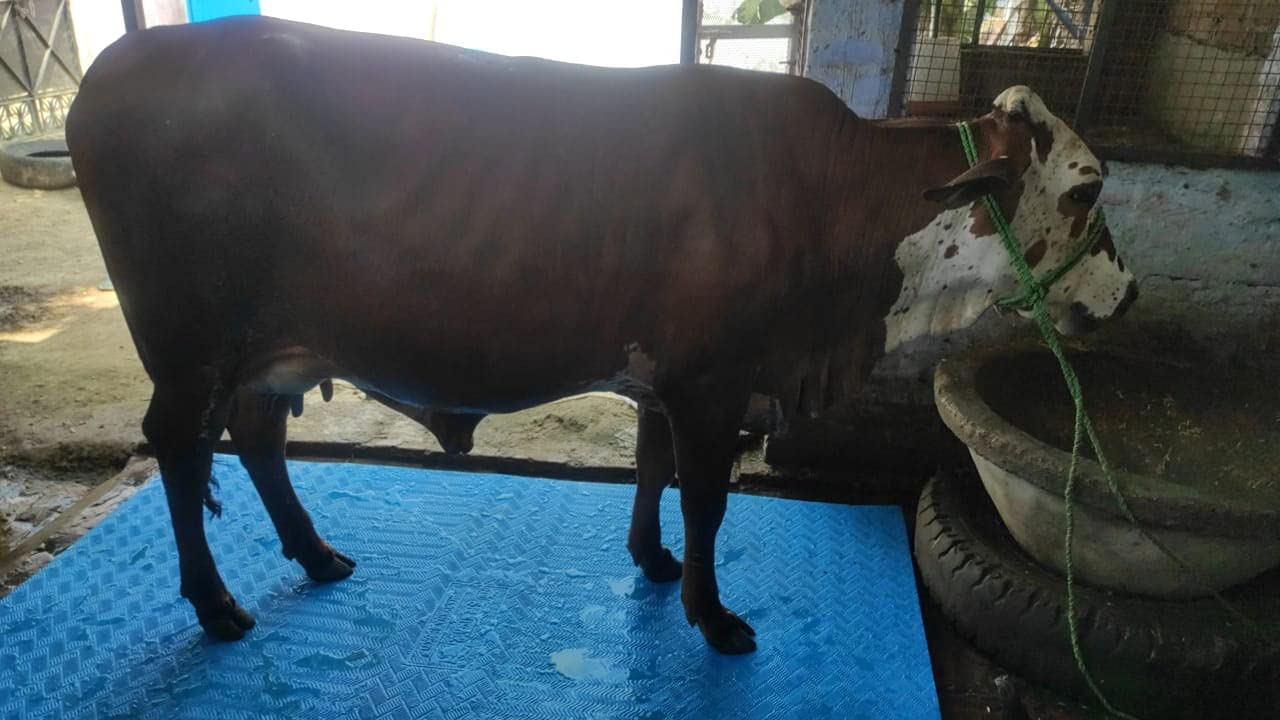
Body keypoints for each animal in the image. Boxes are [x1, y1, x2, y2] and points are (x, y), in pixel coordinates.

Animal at [66, 16, 1136, 655]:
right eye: (1087, 189)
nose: (1126, 297)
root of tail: (117, 66)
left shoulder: (669, 377)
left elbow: (651, 469)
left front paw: (653, 564)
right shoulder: (713, 382)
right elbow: (705, 499)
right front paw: (712, 615)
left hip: (267, 351)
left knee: (256, 436)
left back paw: (317, 554)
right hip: (186, 346)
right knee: (179, 449)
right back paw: (216, 605)